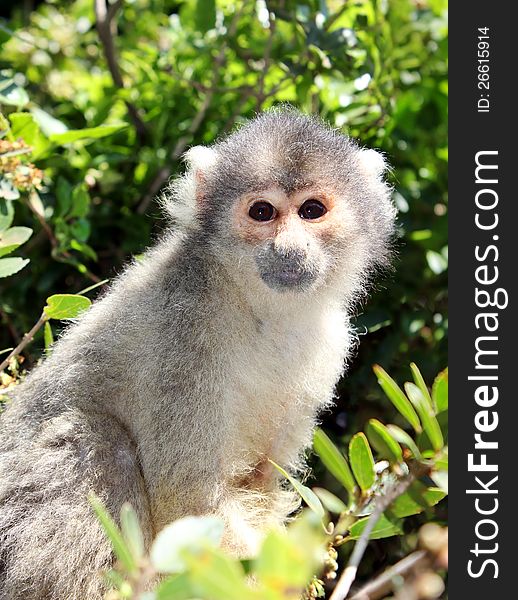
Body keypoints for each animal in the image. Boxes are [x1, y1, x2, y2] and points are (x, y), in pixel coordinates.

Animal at [0, 109, 394, 600]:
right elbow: (189, 498)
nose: (288, 248)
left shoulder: (330, 342)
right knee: (97, 440)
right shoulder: (183, 329)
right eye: (262, 212)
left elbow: (260, 481)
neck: (255, 307)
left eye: (312, 211)